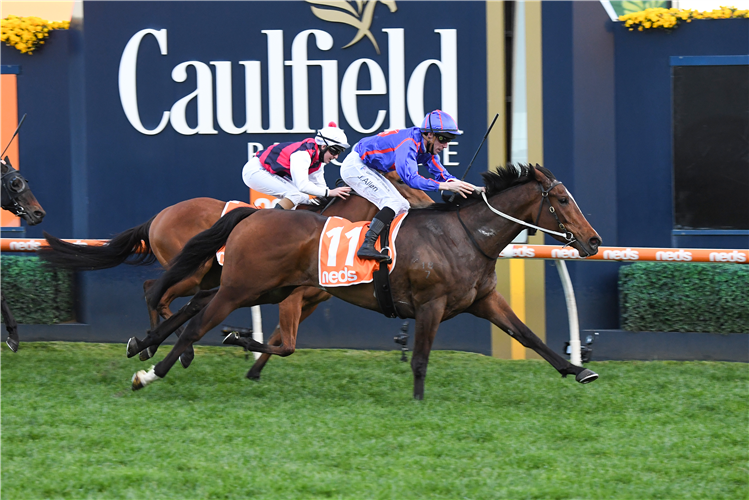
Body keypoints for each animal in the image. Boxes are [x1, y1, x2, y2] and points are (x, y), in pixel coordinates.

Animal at [38, 172, 432, 372]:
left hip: (204, 276)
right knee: (155, 290)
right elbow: (283, 340)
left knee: (161, 293)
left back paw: (159, 346)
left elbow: (280, 340)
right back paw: (167, 349)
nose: (430, 201)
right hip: (194, 271)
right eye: (401, 182)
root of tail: (159, 215)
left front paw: (252, 365)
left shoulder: (308, 300)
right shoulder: (290, 296)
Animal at [136, 166, 600, 400]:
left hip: (261, 286)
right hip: (241, 287)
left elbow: (528, 336)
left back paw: (157, 343)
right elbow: (420, 358)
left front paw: (579, 370)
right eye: (562, 200)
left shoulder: (483, 299)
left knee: (194, 306)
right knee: (194, 323)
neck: (465, 236)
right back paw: (151, 371)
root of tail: (257, 214)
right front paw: (418, 402)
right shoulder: (430, 305)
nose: (593, 241)